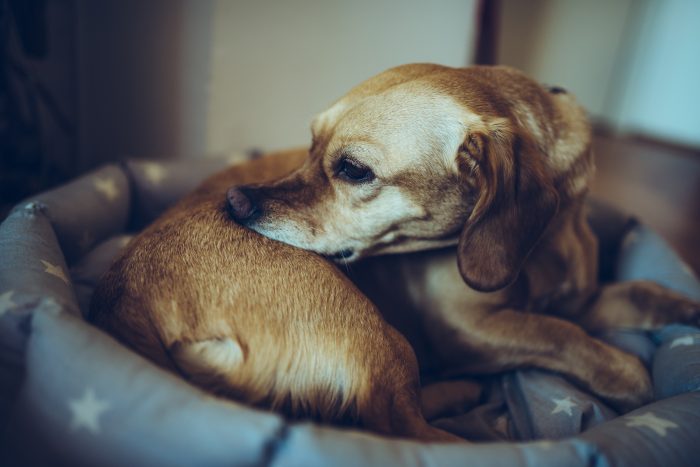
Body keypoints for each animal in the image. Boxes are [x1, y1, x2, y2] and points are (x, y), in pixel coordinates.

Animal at [228, 63, 700, 414]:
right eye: (310, 144)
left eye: (354, 170)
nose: (236, 201)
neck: (547, 242)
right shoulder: (468, 328)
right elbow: (560, 334)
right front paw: (626, 373)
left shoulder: (575, 301)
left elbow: (635, 293)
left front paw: (682, 307)